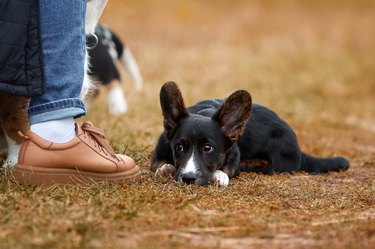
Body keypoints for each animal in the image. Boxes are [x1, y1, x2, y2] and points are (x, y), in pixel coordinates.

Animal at [151, 82, 352, 187]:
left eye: (208, 148)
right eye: (179, 147)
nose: (188, 179)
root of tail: (299, 150)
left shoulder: (234, 157)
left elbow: (226, 170)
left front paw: (220, 176)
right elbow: (161, 165)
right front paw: (167, 169)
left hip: (275, 160)